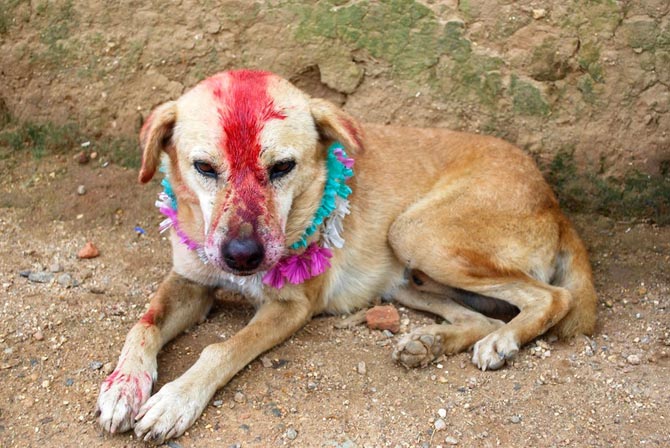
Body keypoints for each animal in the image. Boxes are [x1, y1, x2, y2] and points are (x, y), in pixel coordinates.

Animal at [96, 68, 600, 442]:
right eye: (204, 167)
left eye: (282, 167)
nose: (242, 256)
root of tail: (554, 202)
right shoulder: (191, 282)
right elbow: (144, 325)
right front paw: (124, 385)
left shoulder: (289, 307)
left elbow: (221, 349)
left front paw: (175, 400)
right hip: (408, 278)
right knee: (480, 315)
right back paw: (429, 343)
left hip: (418, 234)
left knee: (551, 297)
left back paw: (502, 341)